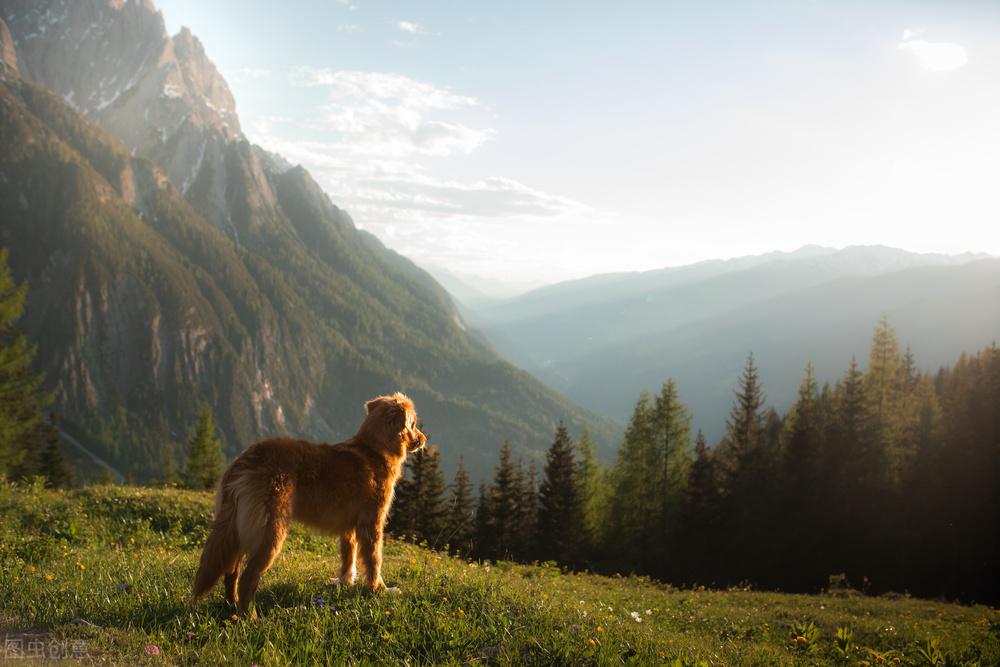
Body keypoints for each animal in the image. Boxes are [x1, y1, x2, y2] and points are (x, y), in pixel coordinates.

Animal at [189, 392, 424, 616]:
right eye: (413, 424)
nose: (423, 439)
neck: (374, 449)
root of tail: (245, 460)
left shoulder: (348, 528)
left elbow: (348, 556)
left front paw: (345, 582)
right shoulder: (371, 523)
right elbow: (375, 560)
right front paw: (380, 589)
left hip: (236, 529)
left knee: (231, 572)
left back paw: (232, 606)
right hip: (271, 530)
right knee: (248, 576)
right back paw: (252, 618)